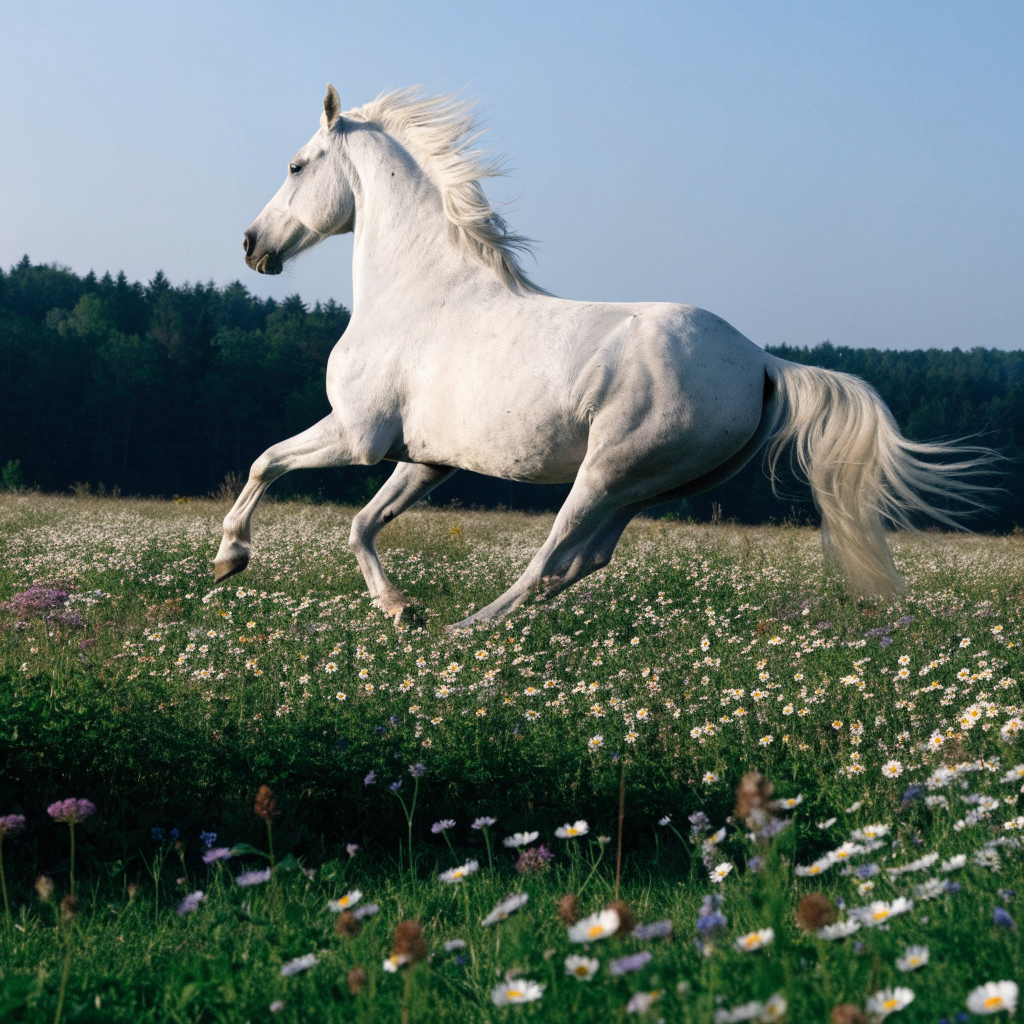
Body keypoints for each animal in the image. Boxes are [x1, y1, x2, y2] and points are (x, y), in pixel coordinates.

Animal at [214, 84, 991, 628]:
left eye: (296, 165)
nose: (253, 245)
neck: (416, 291)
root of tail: (762, 360)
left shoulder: (357, 434)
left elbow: (264, 462)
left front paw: (230, 558)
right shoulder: (425, 459)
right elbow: (360, 524)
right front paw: (399, 608)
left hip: (606, 471)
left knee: (550, 555)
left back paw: (467, 630)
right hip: (646, 484)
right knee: (581, 562)